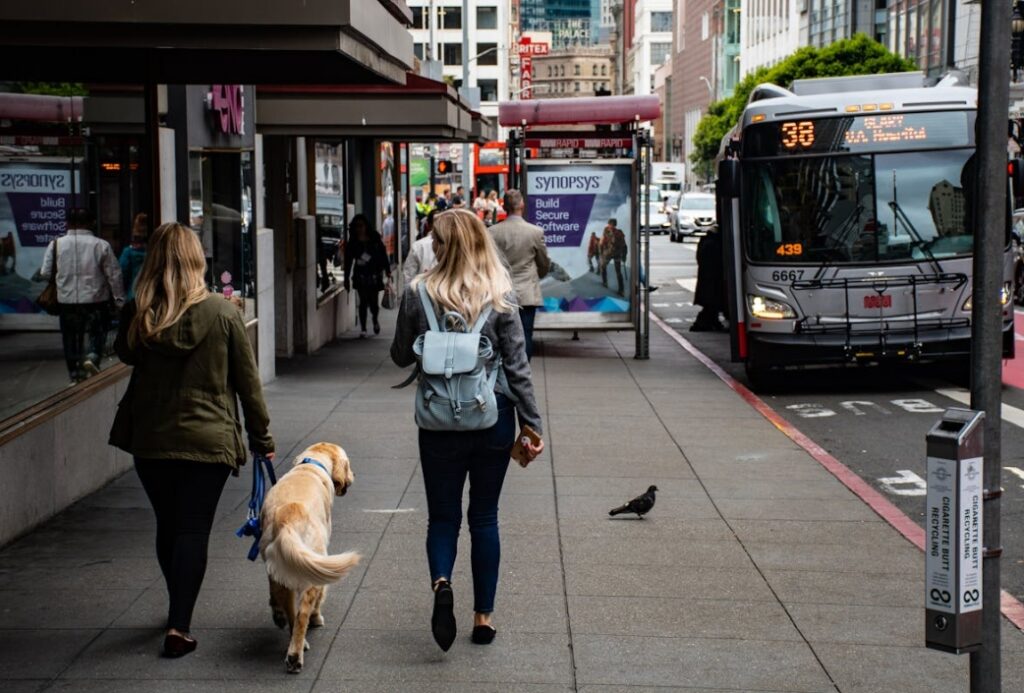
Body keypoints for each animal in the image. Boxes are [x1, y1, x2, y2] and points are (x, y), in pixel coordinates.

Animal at [260, 440, 360, 671]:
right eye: (348, 464)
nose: (354, 475)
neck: (311, 465)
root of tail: (287, 520)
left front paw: (276, 612)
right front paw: (317, 618)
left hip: (282, 569)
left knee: (290, 611)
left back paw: (289, 631)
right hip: (313, 567)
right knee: (302, 614)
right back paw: (295, 655)